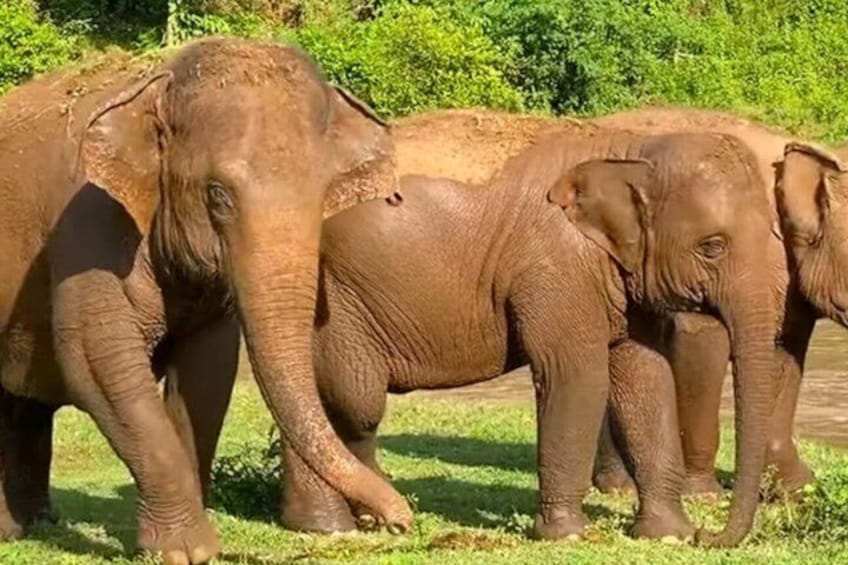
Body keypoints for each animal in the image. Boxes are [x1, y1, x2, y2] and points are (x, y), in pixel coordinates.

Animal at [0, 37, 410, 563]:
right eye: (218, 195)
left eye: (323, 194)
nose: (398, 520)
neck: (157, 83)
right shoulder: (85, 221)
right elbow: (98, 361)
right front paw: (185, 550)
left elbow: (207, 372)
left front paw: (190, 546)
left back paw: (28, 526)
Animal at [292, 128, 779, 546]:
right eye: (712, 247)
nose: (708, 535)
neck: (628, 149)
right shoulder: (555, 268)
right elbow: (577, 378)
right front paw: (568, 535)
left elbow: (646, 377)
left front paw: (668, 535)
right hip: (334, 302)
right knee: (355, 402)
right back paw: (335, 525)